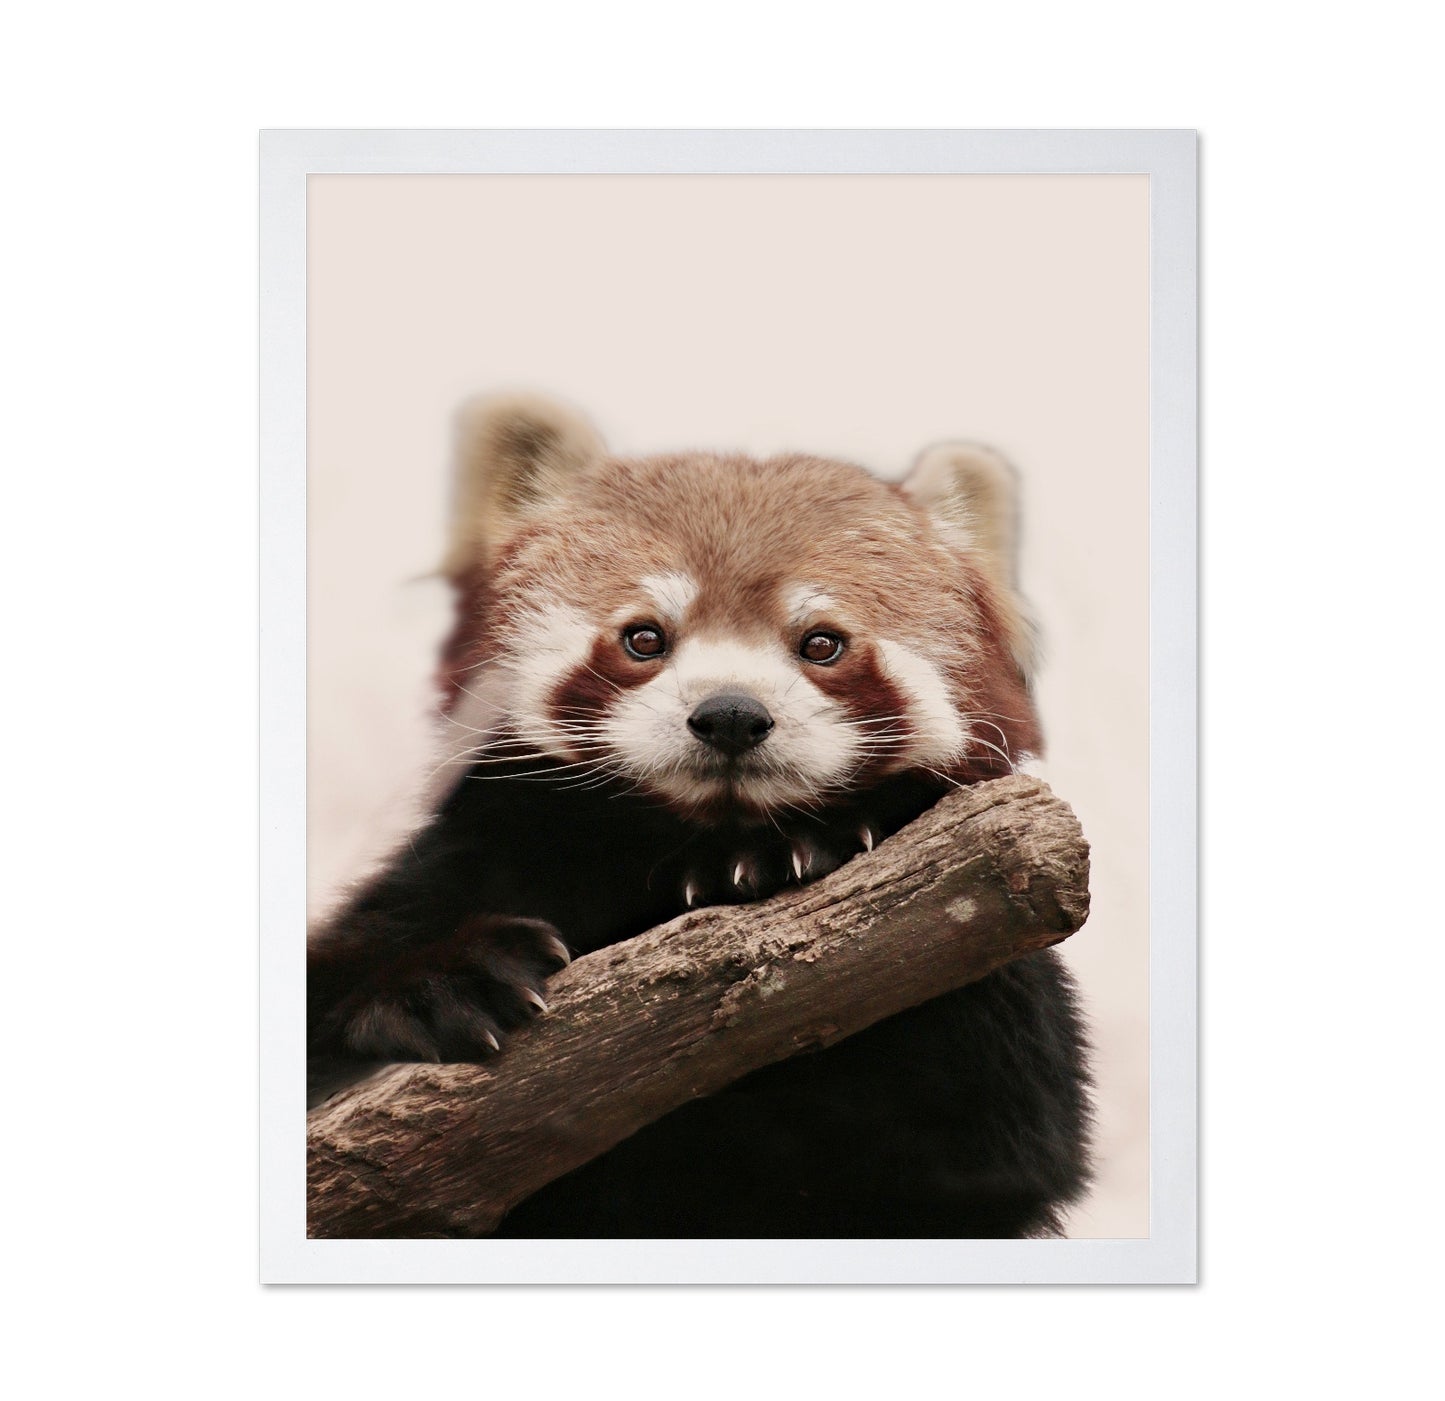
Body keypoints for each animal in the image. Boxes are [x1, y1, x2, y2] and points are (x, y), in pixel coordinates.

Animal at [308, 393, 1092, 1238]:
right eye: (644, 637)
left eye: (822, 643)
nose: (730, 715)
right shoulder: (481, 851)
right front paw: (438, 983)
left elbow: (992, 1125)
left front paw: (791, 853)